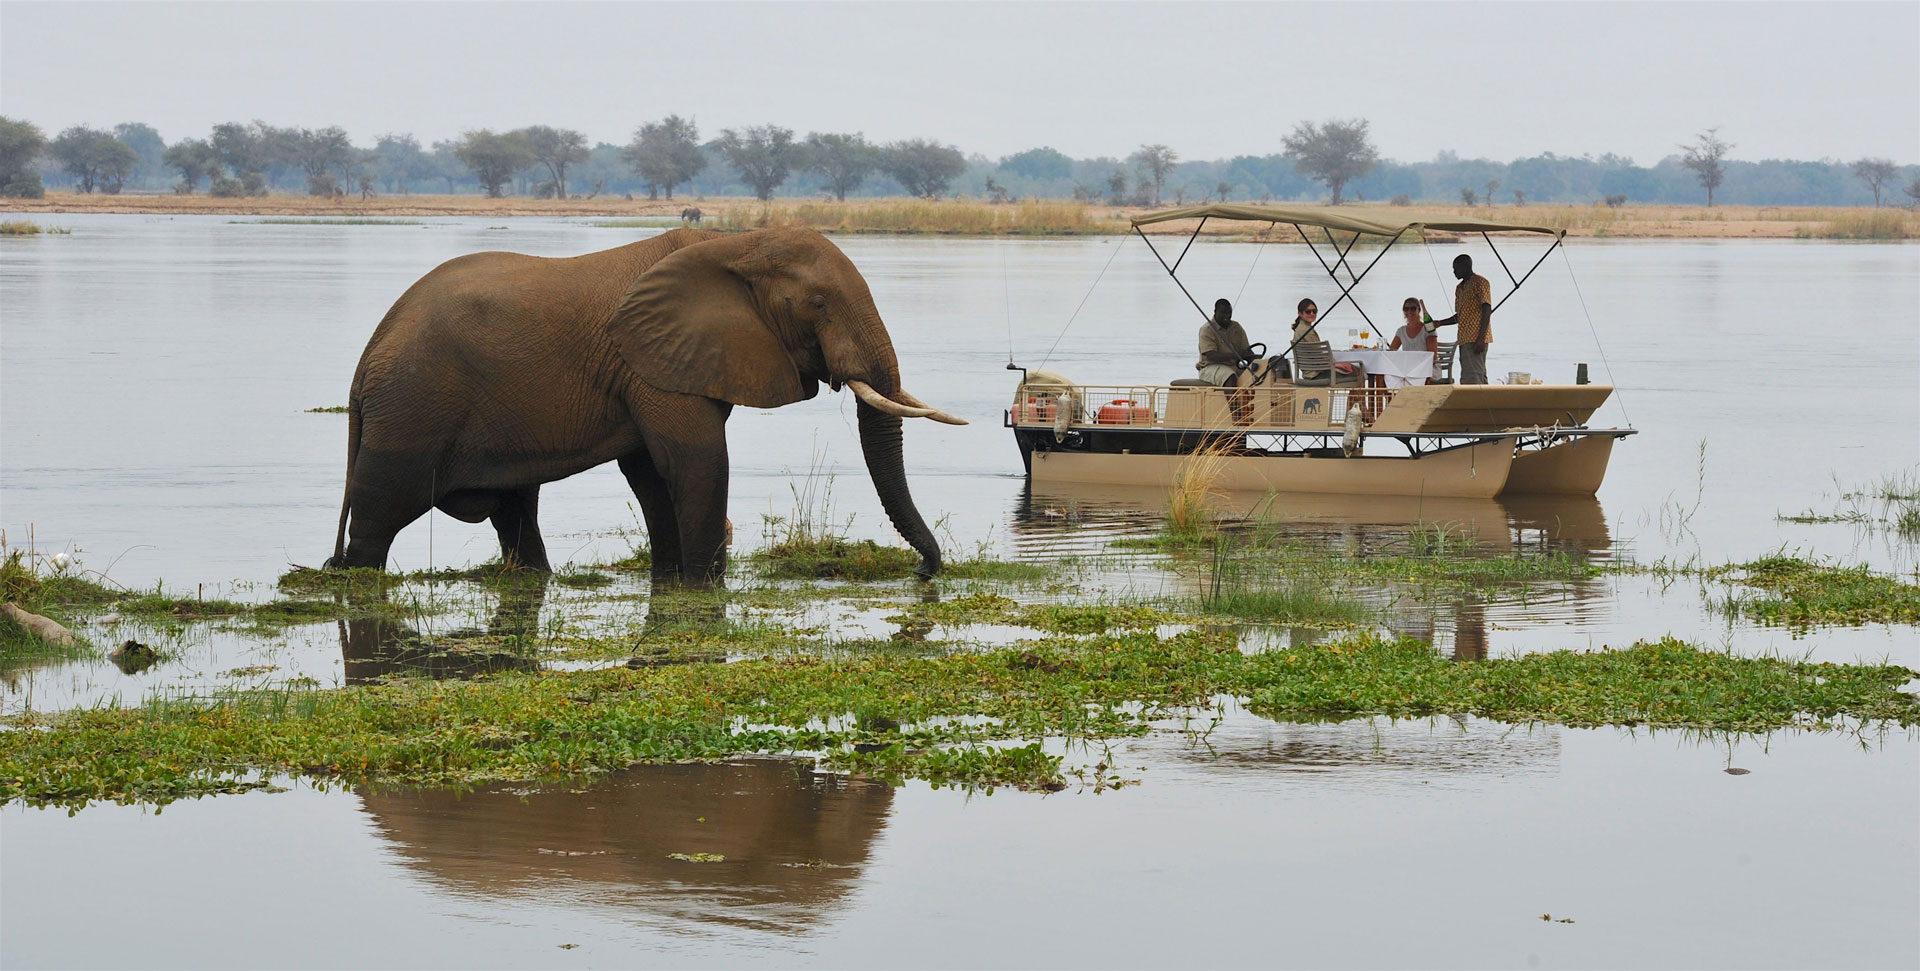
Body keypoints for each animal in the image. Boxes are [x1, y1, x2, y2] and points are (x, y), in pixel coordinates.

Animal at [326, 229, 975, 583]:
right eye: (817, 303)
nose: (921, 571)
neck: (734, 243)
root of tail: (366, 359)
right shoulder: (653, 360)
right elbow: (696, 462)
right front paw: (705, 585)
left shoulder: (664, 361)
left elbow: (651, 473)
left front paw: (674, 579)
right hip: (410, 408)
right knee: (379, 519)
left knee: (515, 513)